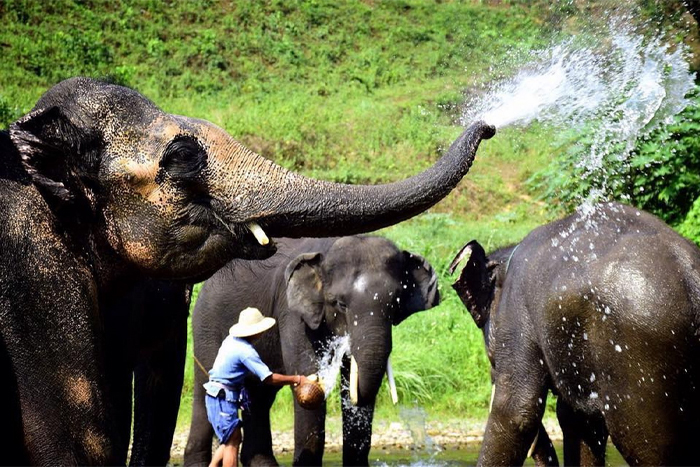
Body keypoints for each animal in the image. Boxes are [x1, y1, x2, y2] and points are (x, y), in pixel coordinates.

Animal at [183, 236, 440, 466]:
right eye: (341, 304)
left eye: (395, 304)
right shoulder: (291, 312)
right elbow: (306, 369)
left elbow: (352, 381)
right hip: (206, 326)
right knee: (205, 393)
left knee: (259, 396)